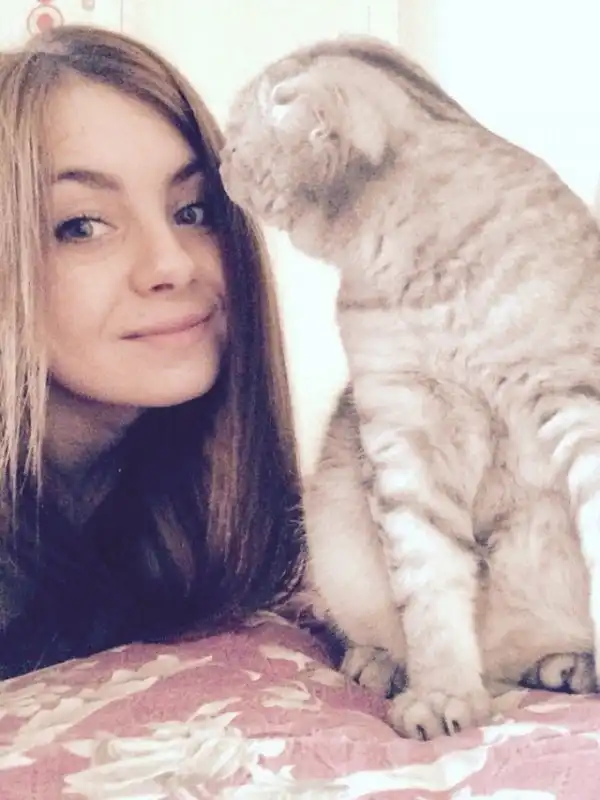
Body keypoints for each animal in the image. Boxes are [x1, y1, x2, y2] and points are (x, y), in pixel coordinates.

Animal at [219, 35, 600, 740]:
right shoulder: (406, 433)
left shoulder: (575, 410)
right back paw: (383, 664)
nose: (221, 160)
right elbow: (428, 588)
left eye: (235, 138)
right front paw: (443, 693)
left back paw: (571, 665)